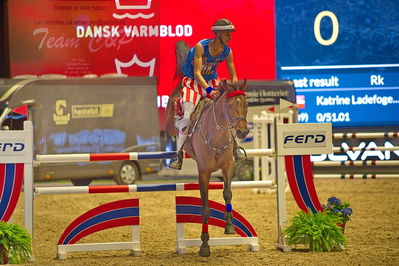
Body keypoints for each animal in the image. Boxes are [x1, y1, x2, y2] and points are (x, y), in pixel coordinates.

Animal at [165, 78, 247, 256]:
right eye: (229, 104)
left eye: (246, 103)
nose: (243, 132)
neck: (216, 135)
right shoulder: (203, 172)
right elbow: (205, 207)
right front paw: (204, 245)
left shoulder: (227, 168)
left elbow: (227, 194)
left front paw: (229, 226)